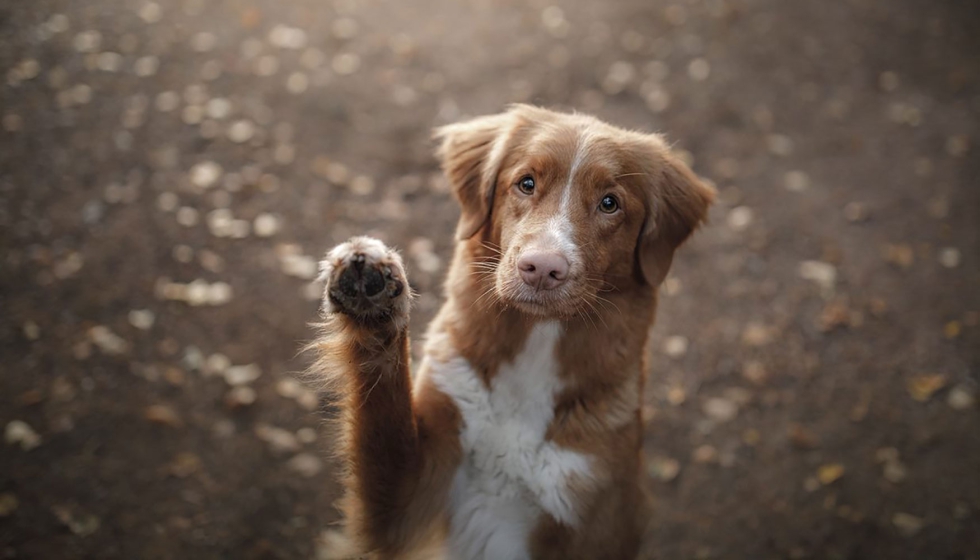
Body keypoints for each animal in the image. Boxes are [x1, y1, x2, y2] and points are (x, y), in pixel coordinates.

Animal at [312, 106, 712, 560]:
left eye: (610, 204)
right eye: (526, 183)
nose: (542, 268)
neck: (534, 352)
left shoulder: (590, 517)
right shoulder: (407, 504)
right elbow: (382, 410)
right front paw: (373, 299)